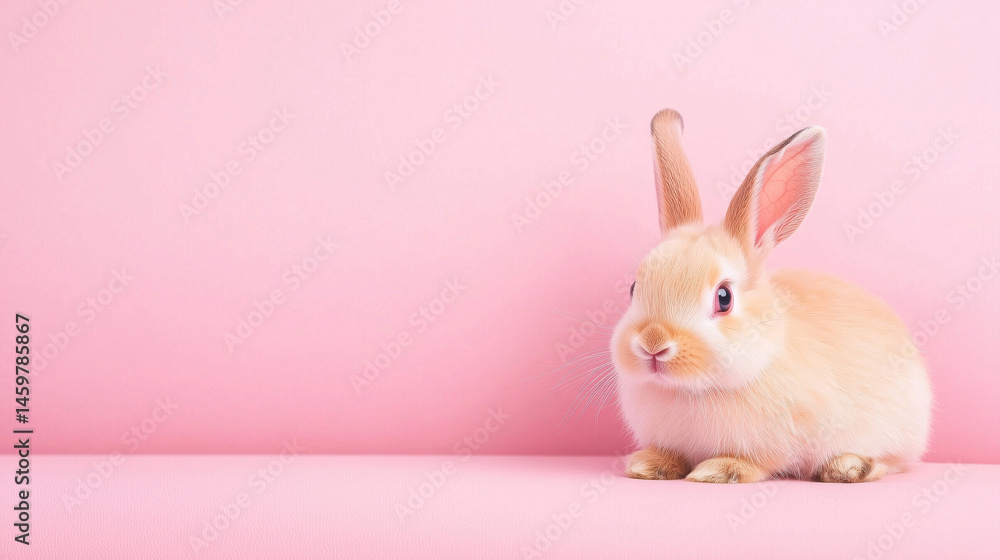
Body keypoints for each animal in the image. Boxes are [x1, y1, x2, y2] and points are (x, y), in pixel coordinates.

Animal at [613, 109, 932, 483]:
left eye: (724, 297)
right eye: (634, 288)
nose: (653, 343)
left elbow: (758, 461)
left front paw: (719, 470)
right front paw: (649, 465)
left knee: (893, 462)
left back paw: (849, 466)